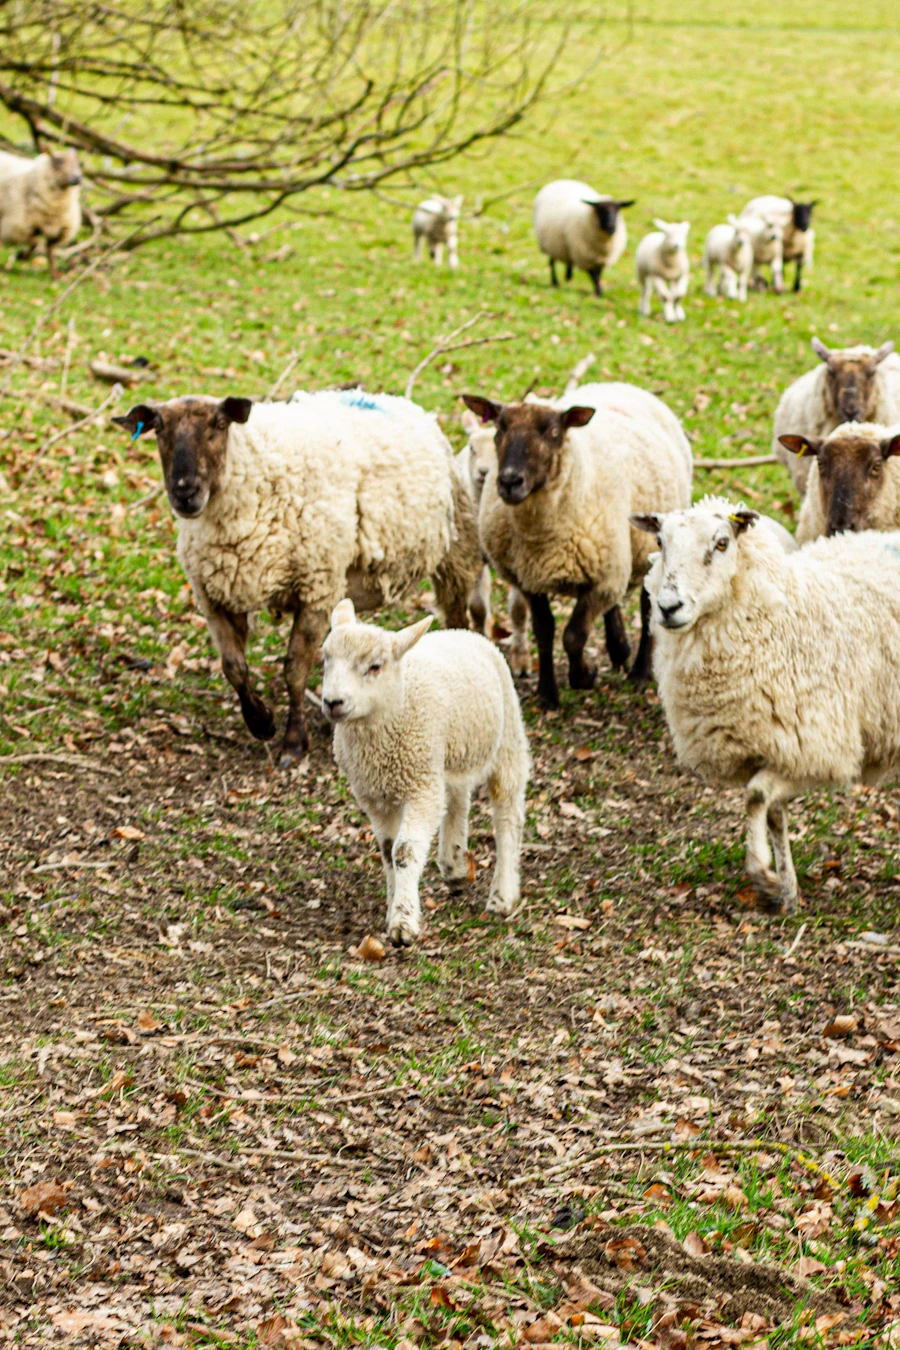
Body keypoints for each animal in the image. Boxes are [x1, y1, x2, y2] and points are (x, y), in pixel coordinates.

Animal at [0, 148, 82, 278]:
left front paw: (54, 275)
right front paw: (22, 256)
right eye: (58, 161)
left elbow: (50, 251)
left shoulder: (58, 231)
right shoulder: (21, 226)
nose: (77, 178)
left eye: (79, 164)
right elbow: (34, 243)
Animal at [112, 389, 482, 766]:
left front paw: (293, 741)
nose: (185, 492)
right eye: (158, 429)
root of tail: (395, 400)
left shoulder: (317, 589)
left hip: (456, 551)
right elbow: (233, 667)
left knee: (457, 615)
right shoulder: (215, 595)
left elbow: (294, 669)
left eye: (219, 424)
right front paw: (260, 721)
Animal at [322, 600, 530, 946]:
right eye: (325, 660)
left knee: (507, 816)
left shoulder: (419, 786)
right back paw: (455, 866)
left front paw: (403, 923)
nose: (332, 702)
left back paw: (502, 894)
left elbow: (403, 850)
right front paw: (393, 904)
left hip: (506, 740)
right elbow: (387, 850)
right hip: (448, 755)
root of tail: (462, 632)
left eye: (375, 667)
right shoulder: (374, 796)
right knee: (457, 801)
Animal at [459, 408, 530, 676]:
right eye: (472, 448)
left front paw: (521, 661)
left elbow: (518, 612)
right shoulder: (474, 557)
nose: (483, 472)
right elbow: (477, 608)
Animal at [631, 496, 900, 913]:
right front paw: (786, 891)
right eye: (659, 541)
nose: (668, 607)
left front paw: (763, 874)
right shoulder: (774, 748)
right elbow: (774, 814)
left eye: (722, 543)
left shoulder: (818, 749)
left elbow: (756, 797)